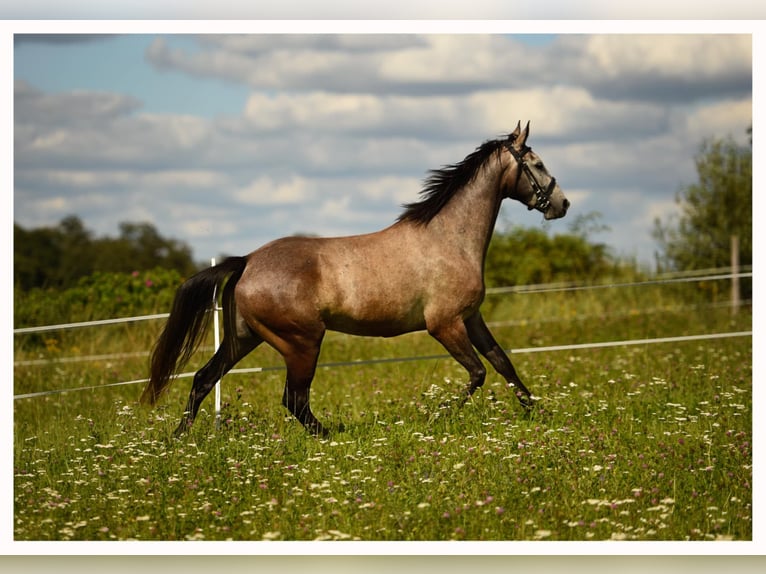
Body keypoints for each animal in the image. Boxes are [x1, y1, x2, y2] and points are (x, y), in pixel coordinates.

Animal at [140, 121, 570, 437]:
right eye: (538, 164)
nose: (562, 204)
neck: (449, 238)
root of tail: (247, 261)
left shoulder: (471, 318)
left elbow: (503, 364)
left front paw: (538, 414)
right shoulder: (444, 325)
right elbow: (478, 373)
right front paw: (439, 416)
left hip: (245, 337)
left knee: (204, 378)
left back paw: (179, 438)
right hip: (302, 342)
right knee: (294, 399)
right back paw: (332, 436)